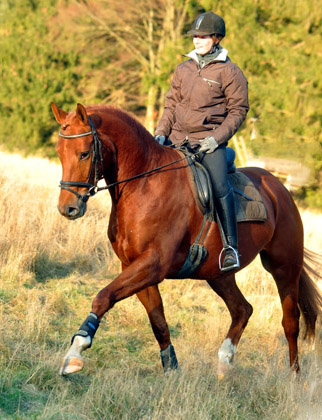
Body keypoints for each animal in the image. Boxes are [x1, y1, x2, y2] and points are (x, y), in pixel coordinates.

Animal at [50, 101, 322, 378]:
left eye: (84, 153)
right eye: (60, 152)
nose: (68, 208)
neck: (144, 184)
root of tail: (280, 189)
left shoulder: (153, 265)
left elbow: (103, 296)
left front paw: (76, 350)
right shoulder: (134, 267)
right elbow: (158, 321)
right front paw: (171, 369)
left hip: (284, 268)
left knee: (290, 321)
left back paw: (293, 376)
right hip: (218, 274)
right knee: (242, 309)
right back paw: (224, 363)